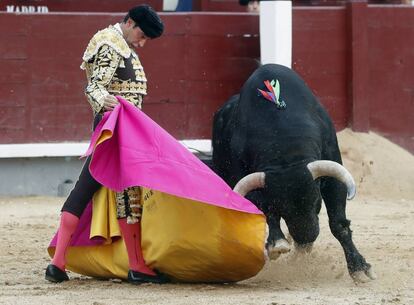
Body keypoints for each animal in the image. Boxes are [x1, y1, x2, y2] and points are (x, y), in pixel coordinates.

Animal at [212, 63, 374, 282]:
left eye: (316, 201)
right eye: (281, 208)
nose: (306, 237)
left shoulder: (332, 173)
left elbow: (339, 223)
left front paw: (359, 268)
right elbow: (266, 210)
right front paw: (277, 243)